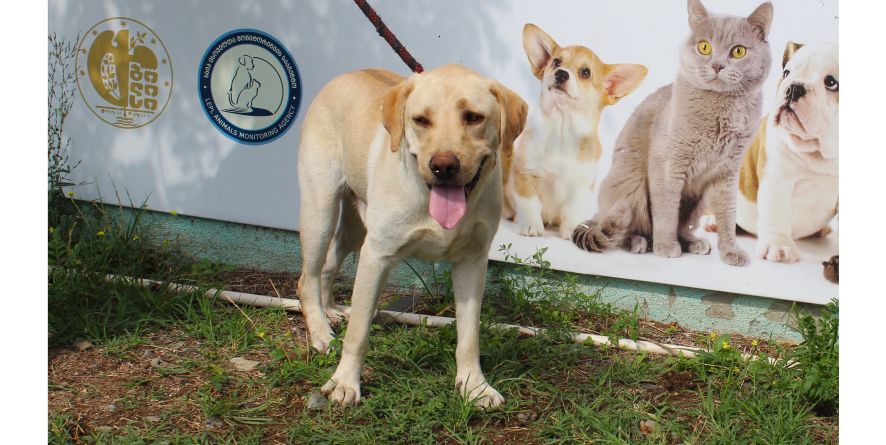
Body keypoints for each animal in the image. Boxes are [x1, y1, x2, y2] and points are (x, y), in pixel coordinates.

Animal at [298, 64, 528, 408]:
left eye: (473, 117)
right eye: (421, 120)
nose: (443, 166)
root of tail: (345, 75)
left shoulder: (473, 262)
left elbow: (469, 336)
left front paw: (474, 386)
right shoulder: (376, 256)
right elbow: (359, 332)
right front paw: (345, 382)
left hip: (356, 227)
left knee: (328, 266)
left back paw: (331, 311)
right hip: (320, 211)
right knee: (307, 279)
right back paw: (321, 332)